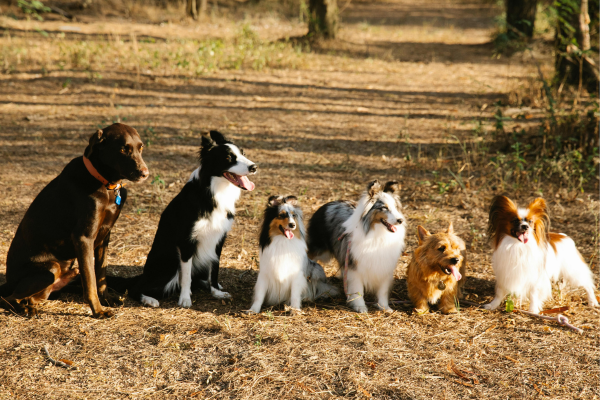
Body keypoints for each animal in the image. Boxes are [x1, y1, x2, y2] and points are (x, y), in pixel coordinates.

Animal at [0, 123, 149, 318]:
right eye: (123, 149)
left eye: (141, 148)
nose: (145, 173)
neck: (106, 184)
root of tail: (7, 282)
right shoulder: (83, 238)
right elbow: (91, 281)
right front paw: (98, 311)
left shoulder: (104, 237)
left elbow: (101, 274)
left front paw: (107, 299)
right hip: (50, 268)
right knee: (8, 298)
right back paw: (25, 309)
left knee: (33, 297)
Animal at [126, 130, 255, 306]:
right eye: (228, 157)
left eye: (243, 153)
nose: (254, 167)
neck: (212, 192)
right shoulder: (186, 242)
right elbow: (186, 276)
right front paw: (185, 298)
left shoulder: (218, 239)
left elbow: (214, 268)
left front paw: (216, 291)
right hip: (170, 263)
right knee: (135, 289)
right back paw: (149, 299)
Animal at [308, 180, 406, 314]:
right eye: (384, 208)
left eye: (396, 207)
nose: (400, 220)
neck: (377, 233)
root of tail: (328, 204)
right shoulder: (355, 266)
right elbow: (358, 289)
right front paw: (360, 307)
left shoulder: (384, 265)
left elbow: (383, 290)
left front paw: (384, 307)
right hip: (319, 250)